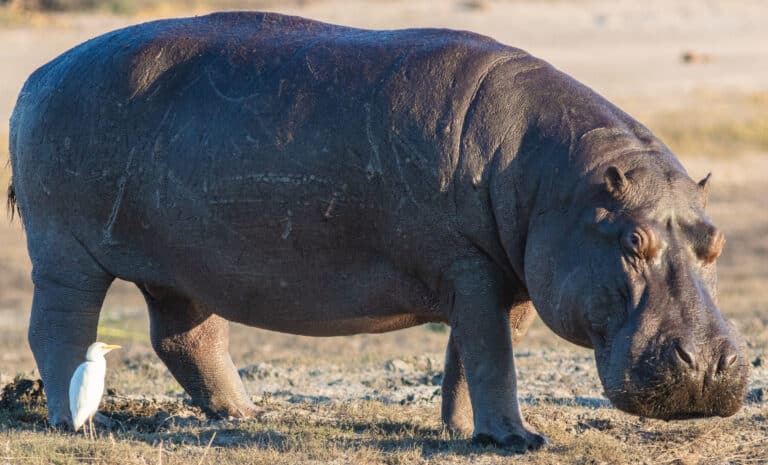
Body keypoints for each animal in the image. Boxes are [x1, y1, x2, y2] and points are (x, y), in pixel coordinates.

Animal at [7, 12, 748, 451]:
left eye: (714, 241)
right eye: (633, 242)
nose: (708, 369)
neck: (560, 183)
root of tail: (36, 77)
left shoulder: (505, 277)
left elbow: (473, 358)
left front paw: (466, 431)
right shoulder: (473, 269)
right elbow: (490, 356)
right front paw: (519, 440)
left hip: (181, 265)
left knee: (185, 336)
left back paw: (246, 415)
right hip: (65, 252)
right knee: (59, 328)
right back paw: (80, 420)